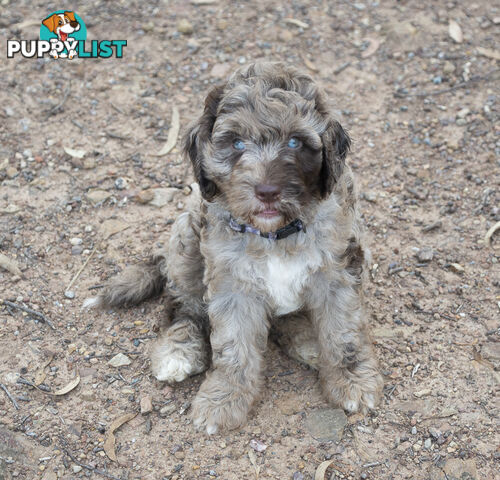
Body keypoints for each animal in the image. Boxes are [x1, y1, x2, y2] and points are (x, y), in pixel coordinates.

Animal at [85, 61, 382, 436]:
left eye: (295, 141)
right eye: (237, 143)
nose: (266, 191)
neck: (276, 235)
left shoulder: (340, 272)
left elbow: (344, 335)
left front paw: (351, 380)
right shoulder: (231, 285)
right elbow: (233, 346)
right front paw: (223, 399)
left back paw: (308, 342)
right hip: (186, 242)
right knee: (184, 307)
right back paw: (178, 351)